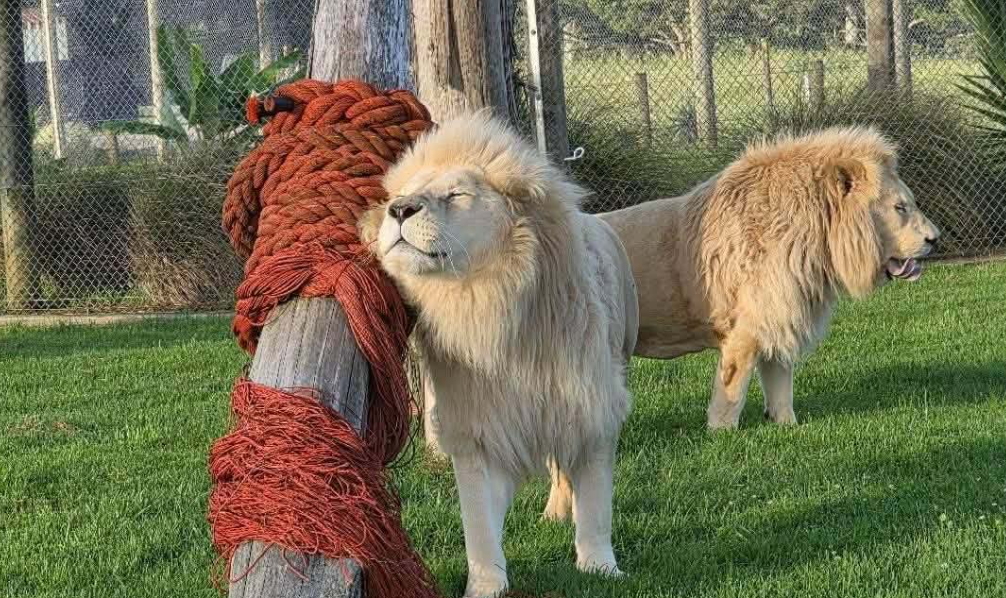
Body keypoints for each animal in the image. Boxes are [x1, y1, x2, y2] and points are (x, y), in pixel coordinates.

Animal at [360, 112, 638, 598]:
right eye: (396, 197)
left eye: (457, 195)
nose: (399, 210)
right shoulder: (480, 431)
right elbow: (479, 528)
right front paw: (486, 585)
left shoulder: (592, 410)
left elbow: (596, 507)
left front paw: (600, 568)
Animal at [598, 126, 940, 431]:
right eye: (900, 207)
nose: (936, 239)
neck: (814, 234)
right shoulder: (746, 329)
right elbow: (731, 389)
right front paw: (720, 432)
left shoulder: (779, 319)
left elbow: (780, 385)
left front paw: (786, 425)